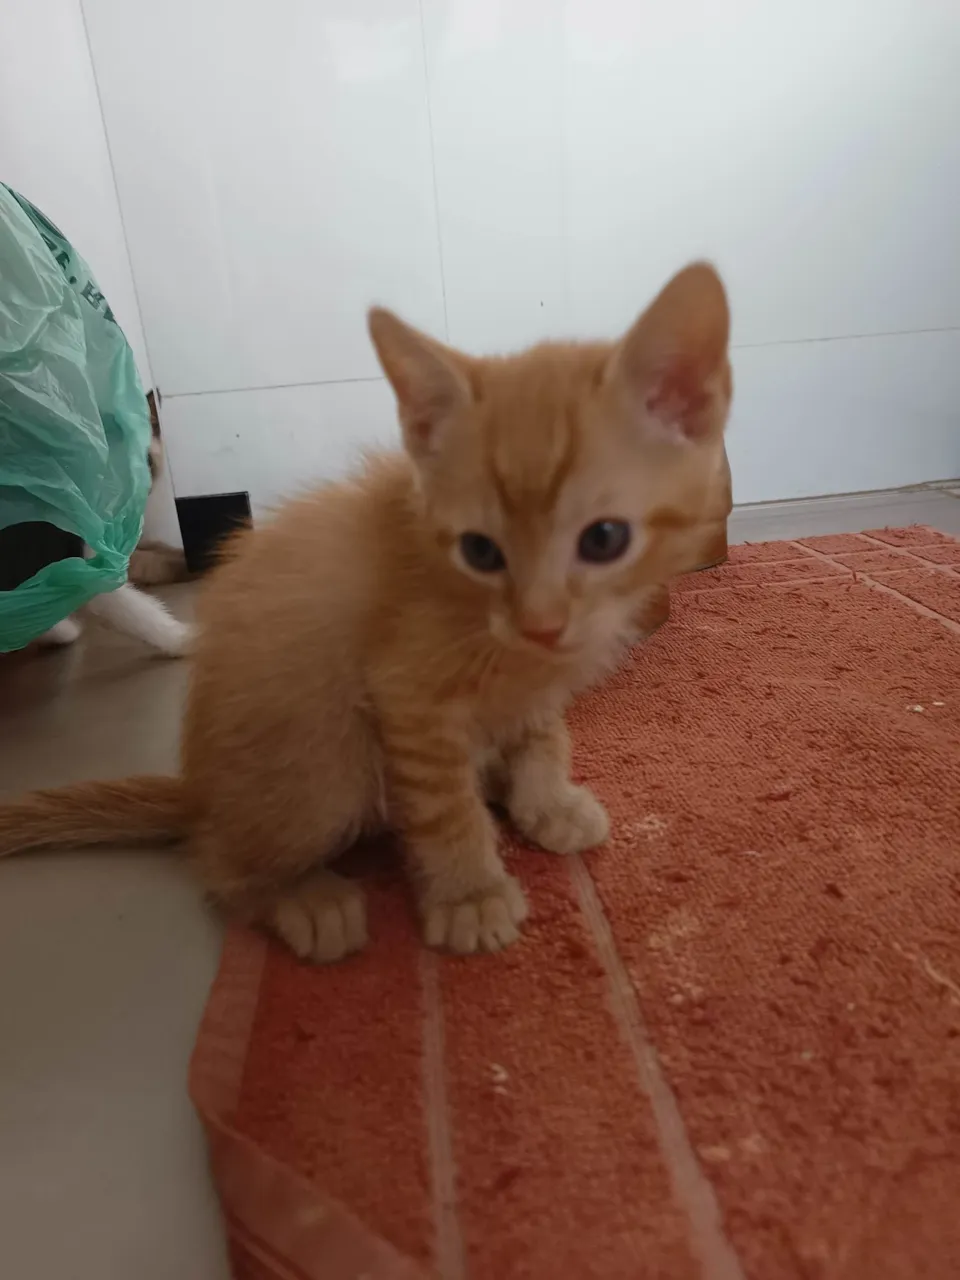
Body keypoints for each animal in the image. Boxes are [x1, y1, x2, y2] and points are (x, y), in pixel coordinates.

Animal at [34, 389, 192, 656]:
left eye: (146, 462)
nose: (134, 493)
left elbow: (164, 549)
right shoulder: (94, 570)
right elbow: (144, 604)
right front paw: (187, 639)